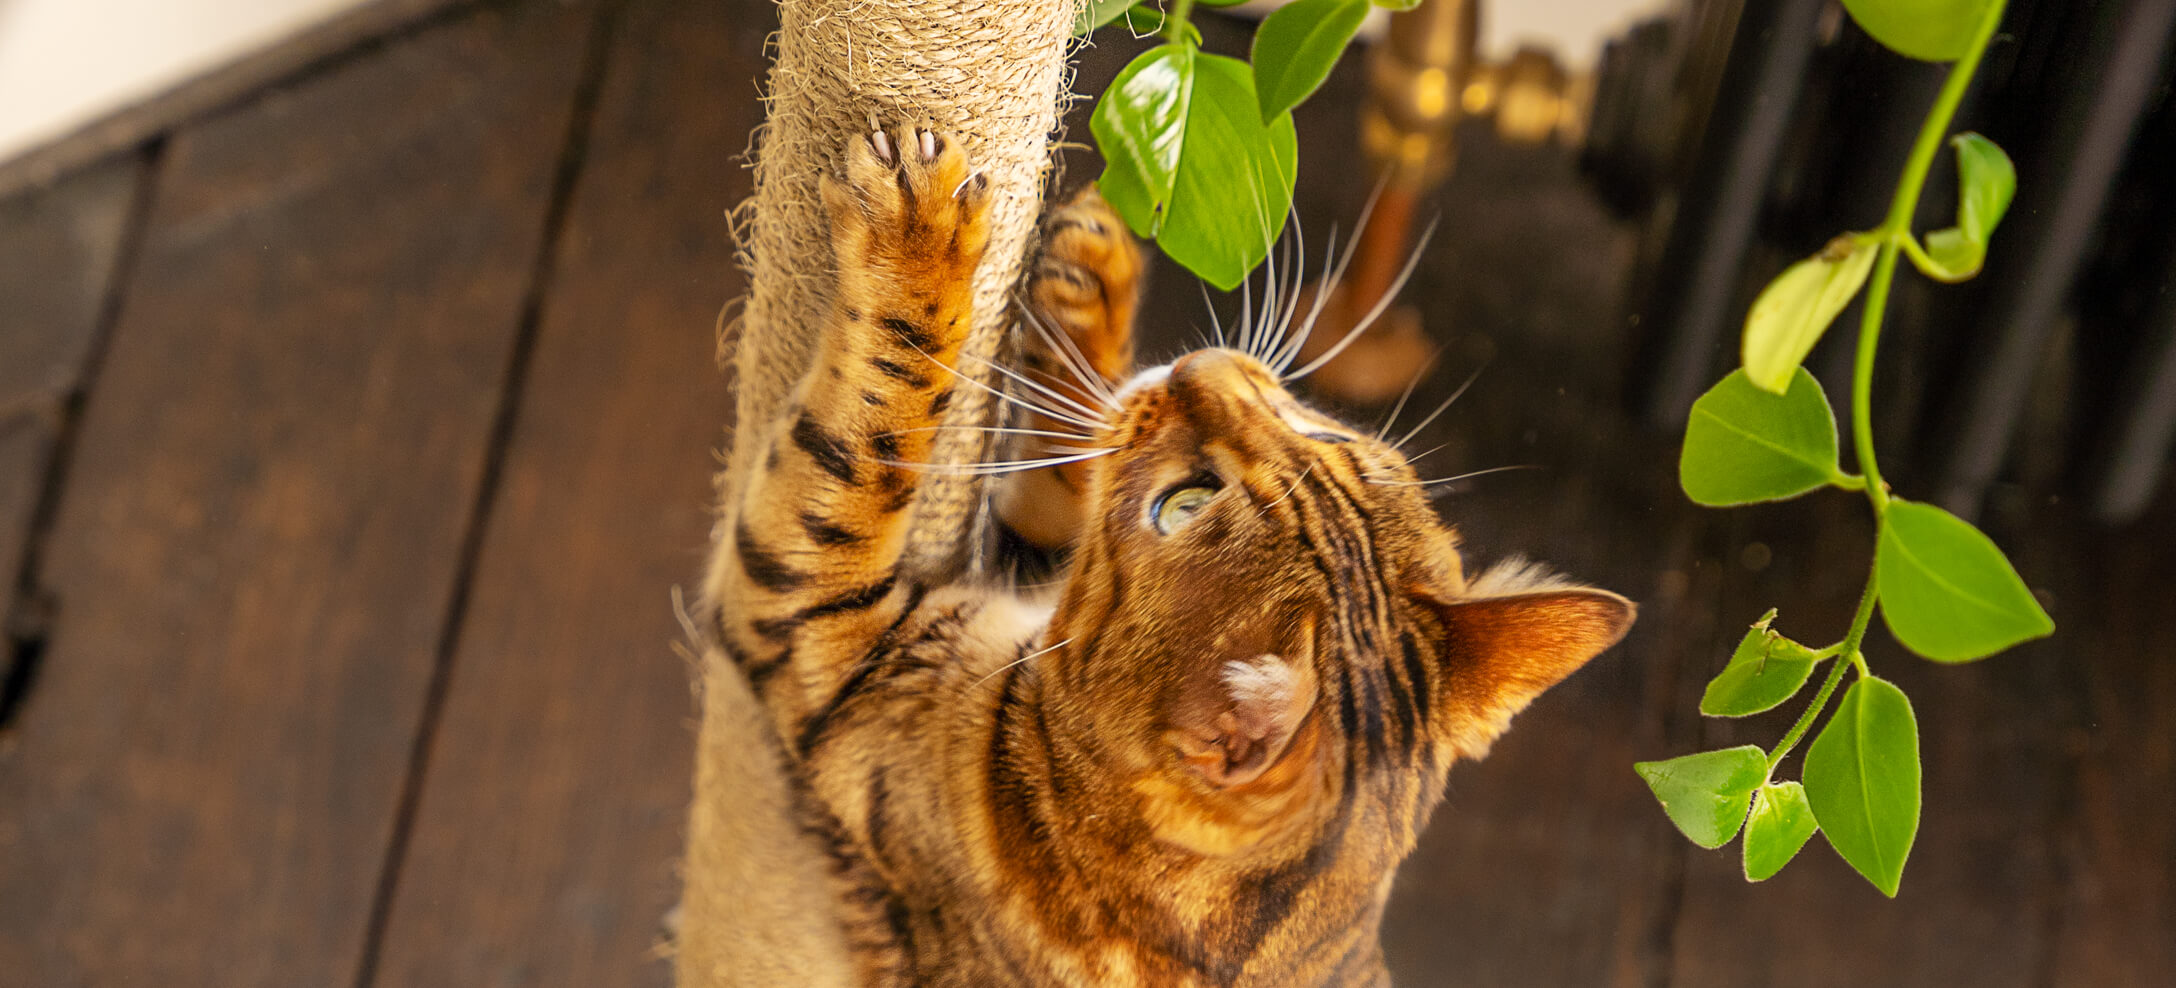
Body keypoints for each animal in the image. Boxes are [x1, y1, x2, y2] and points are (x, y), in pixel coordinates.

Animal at [705, 123, 1636, 987]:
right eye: (1326, 434)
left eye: (1183, 505)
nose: (1198, 367)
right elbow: (1067, 463)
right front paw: (1094, 270)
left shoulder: (828, 633)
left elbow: (880, 419)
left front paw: (922, 233)